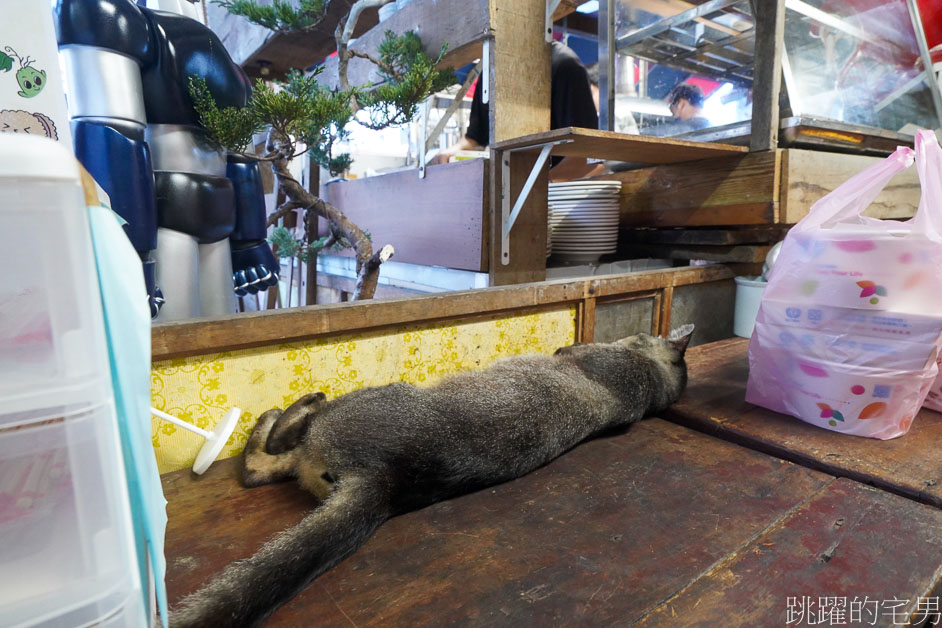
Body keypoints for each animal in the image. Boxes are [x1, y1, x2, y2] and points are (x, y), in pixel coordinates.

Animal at [173, 326, 696, 624]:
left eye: (639, 339)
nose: (563, 345)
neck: (649, 385)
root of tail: (385, 482)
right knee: (268, 468)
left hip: (361, 403)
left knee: (270, 456)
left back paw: (287, 409)